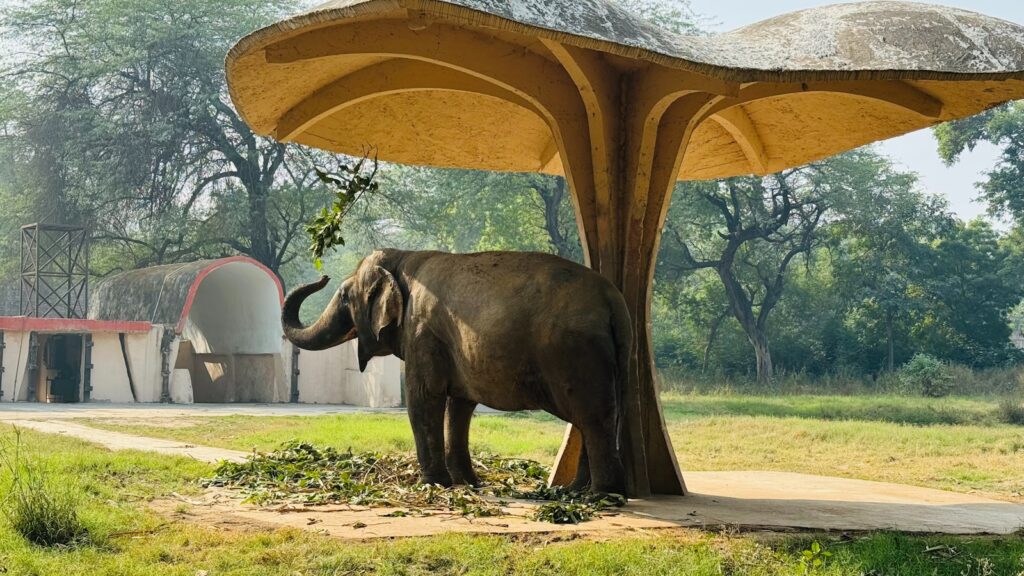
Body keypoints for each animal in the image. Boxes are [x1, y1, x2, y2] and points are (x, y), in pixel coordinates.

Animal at [282, 249, 629, 495]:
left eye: (343, 296)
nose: (323, 275)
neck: (404, 256)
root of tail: (613, 299)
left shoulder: (422, 333)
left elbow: (423, 398)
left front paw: (435, 484)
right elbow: (460, 406)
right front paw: (468, 483)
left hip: (575, 353)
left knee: (593, 418)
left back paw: (601, 495)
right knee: (593, 418)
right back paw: (576, 491)